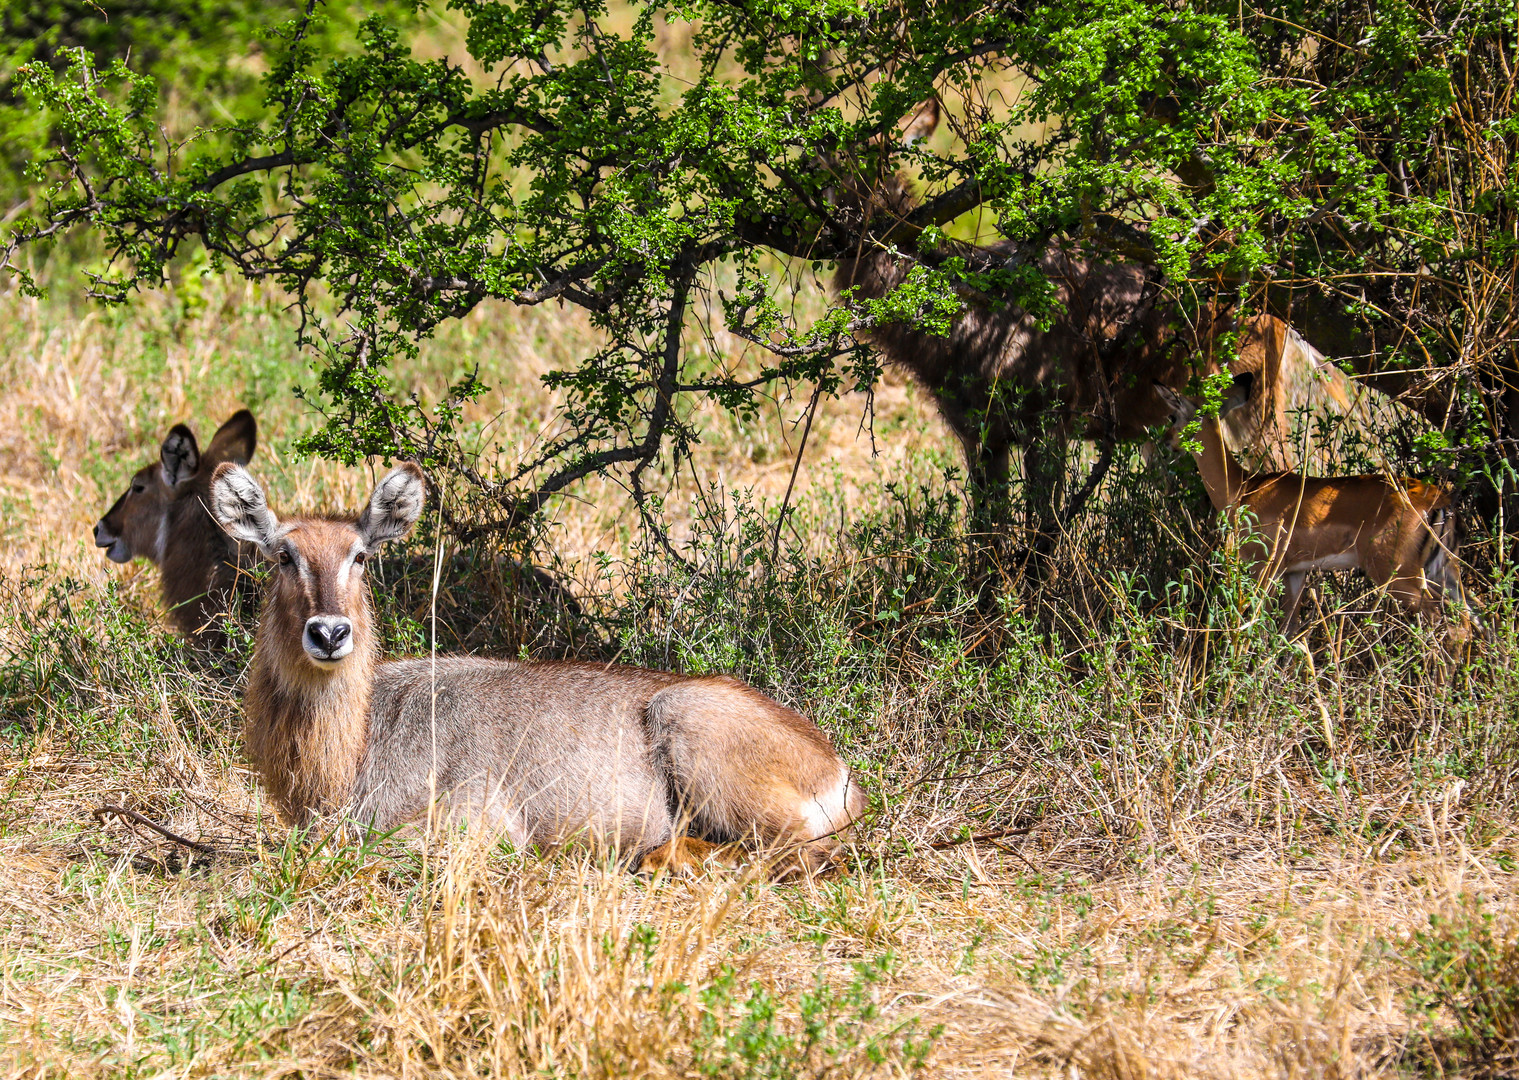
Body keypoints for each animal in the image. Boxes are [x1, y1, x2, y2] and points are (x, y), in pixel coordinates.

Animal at [208, 461, 868, 874]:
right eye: (283, 555)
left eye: (360, 556)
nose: (329, 633)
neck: (354, 747)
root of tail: (836, 770)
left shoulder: (472, 824)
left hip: (695, 731)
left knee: (805, 853)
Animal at [1154, 376, 1464, 637]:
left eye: (1173, 415)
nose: (1165, 442)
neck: (1243, 487)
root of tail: (1439, 501)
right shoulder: (1295, 572)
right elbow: (1288, 631)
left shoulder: (1265, 568)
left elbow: (1259, 624)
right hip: (1444, 573)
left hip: (1397, 574)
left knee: (1444, 621)